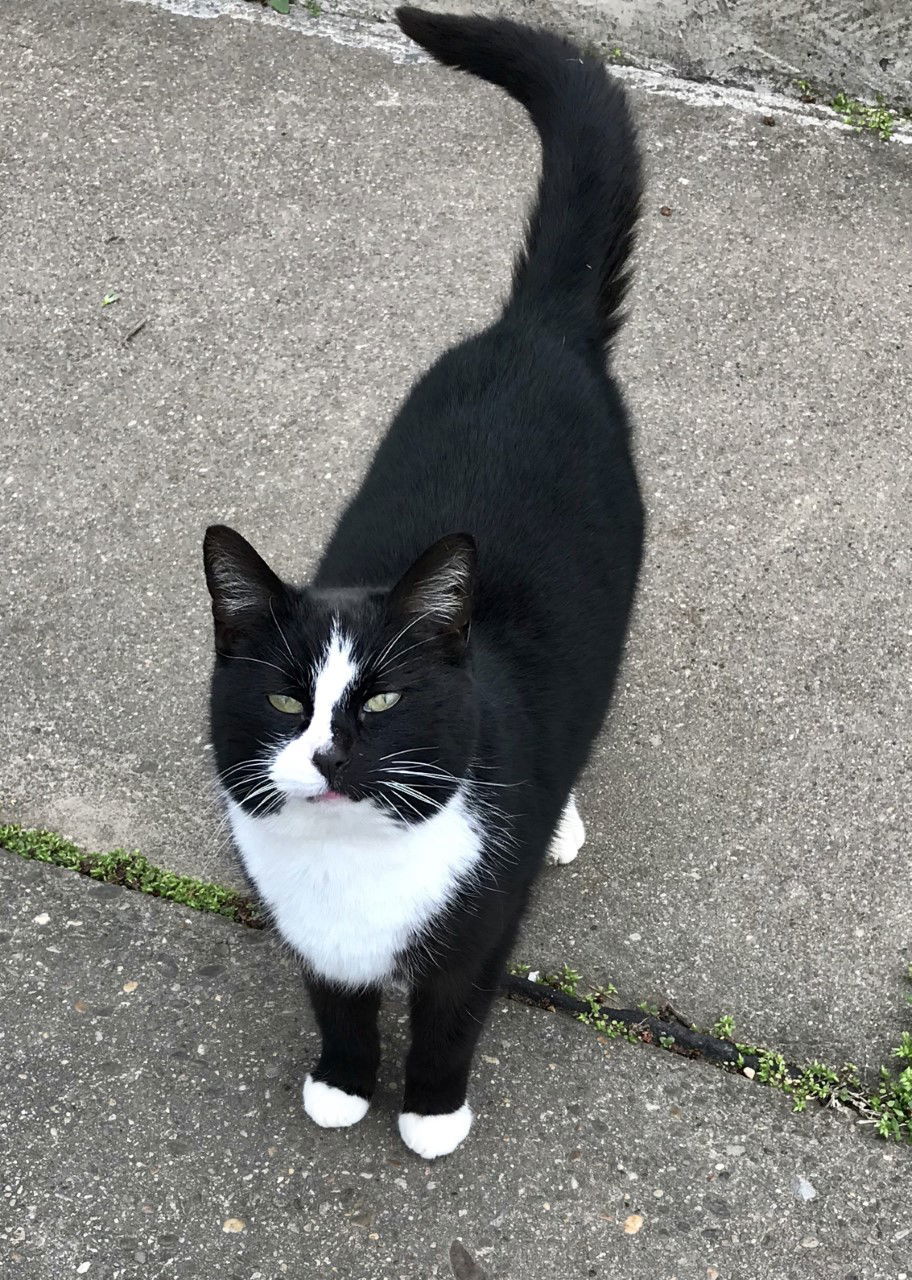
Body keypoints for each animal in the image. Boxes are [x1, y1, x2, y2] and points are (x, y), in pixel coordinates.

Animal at [203, 5, 645, 1162]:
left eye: (388, 697)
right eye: (285, 702)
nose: (325, 755)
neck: (354, 864)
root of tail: (535, 328)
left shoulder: (480, 929)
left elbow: (451, 1011)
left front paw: (433, 1112)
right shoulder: (316, 936)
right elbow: (337, 999)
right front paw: (343, 1080)